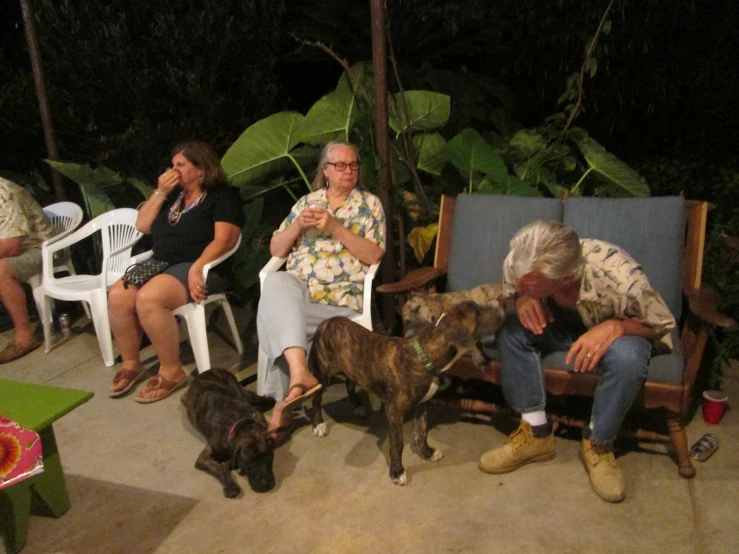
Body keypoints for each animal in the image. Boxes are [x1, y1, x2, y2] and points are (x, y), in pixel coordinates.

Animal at [183, 366, 278, 496]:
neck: (240, 423)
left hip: (241, 393)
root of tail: (210, 370)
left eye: (269, 459)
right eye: (249, 465)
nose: (266, 485)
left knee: (262, 399)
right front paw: (230, 486)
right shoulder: (204, 457)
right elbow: (219, 469)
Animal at [308, 298, 508, 484]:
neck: (426, 355)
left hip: (352, 368)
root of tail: (327, 322)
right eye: (477, 312)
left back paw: (356, 406)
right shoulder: (394, 412)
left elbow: (422, 431)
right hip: (324, 373)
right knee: (316, 399)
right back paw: (319, 424)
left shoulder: (422, 404)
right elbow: (397, 444)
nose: (502, 302)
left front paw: (427, 453)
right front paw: (397, 471)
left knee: (349, 384)